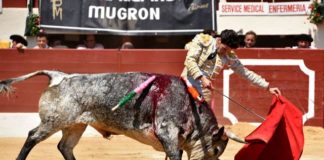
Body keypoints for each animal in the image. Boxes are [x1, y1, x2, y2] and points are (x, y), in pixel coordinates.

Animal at [0, 70, 240, 160]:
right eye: (216, 149)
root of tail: (59, 76)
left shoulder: (173, 139)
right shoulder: (168, 133)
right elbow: (174, 156)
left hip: (76, 125)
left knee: (64, 147)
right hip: (54, 121)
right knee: (32, 136)